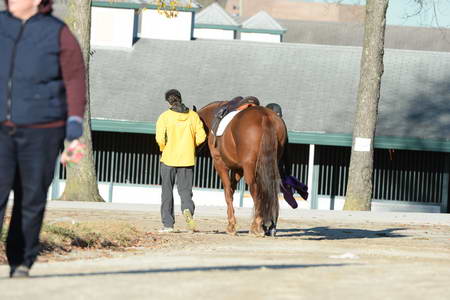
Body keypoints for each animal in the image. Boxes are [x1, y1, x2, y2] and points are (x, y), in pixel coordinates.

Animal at [198, 101, 288, 237]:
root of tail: (265, 116)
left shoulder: (220, 164)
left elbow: (227, 193)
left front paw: (231, 226)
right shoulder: (238, 169)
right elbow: (231, 190)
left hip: (249, 168)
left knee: (256, 191)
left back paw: (256, 226)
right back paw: (267, 227)